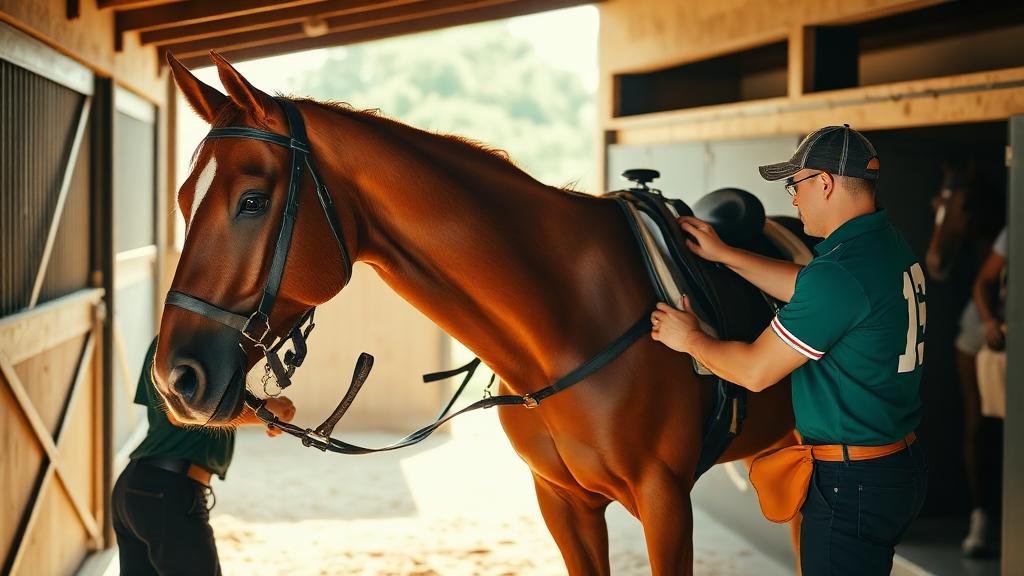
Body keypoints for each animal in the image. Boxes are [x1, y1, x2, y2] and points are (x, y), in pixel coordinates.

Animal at [153, 52, 797, 575]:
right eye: (183, 199)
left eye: (252, 201)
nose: (174, 378)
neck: (568, 314)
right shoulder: (563, 503)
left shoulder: (665, 501)